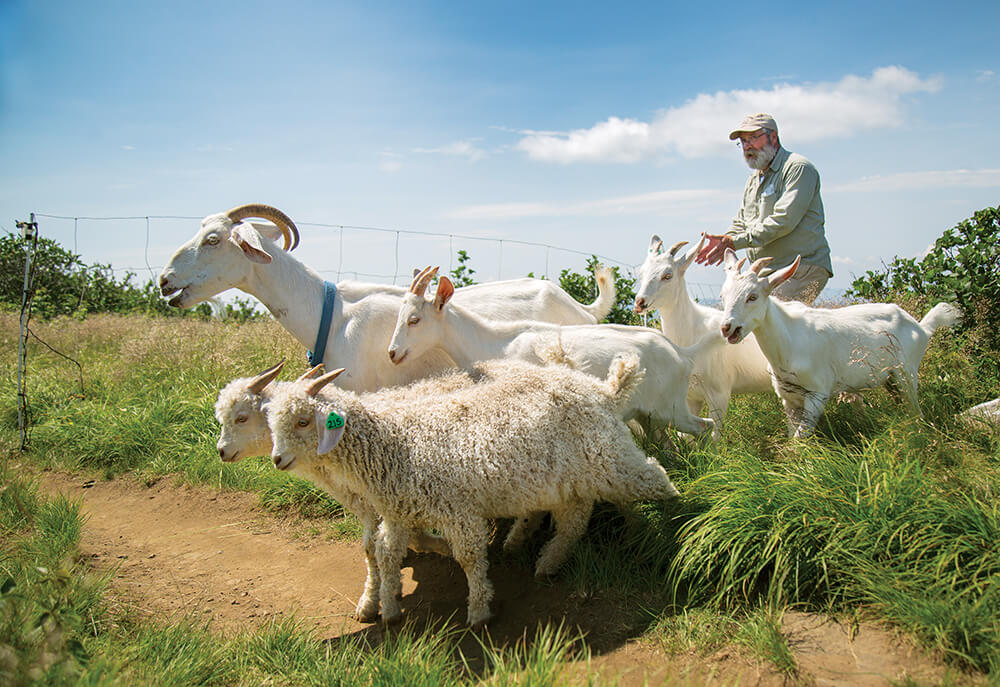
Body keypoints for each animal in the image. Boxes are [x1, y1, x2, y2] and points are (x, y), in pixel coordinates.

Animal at [718, 249, 962, 437]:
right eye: (723, 296)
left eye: (752, 296)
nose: (726, 327)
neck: (788, 337)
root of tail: (921, 327)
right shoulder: (788, 398)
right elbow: (792, 438)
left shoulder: (818, 393)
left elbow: (799, 439)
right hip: (891, 379)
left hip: (907, 374)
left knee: (916, 411)